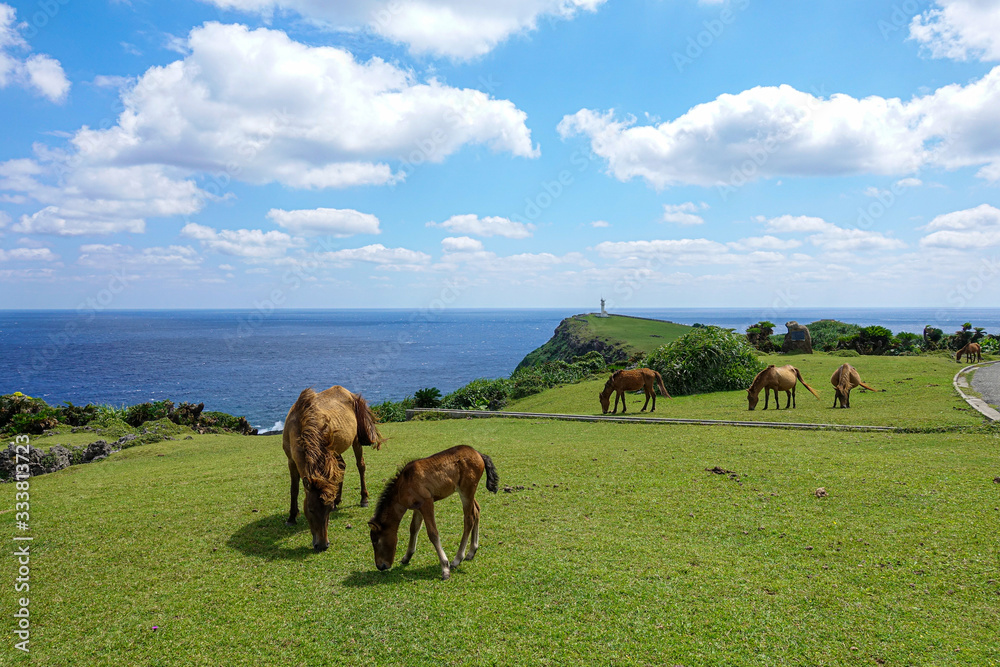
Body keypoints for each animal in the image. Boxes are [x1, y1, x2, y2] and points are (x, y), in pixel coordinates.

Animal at [283, 386, 384, 552]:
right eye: (310, 509)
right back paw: (338, 499)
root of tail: (350, 394)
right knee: (342, 466)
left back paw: (363, 499)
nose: (323, 545)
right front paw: (291, 517)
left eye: (328, 510)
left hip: (355, 440)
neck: (300, 422)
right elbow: (294, 490)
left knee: (360, 466)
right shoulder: (291, 461)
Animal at [368, 445, 498, 581]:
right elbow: (413, 528)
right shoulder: (417, 507)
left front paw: (445, 568)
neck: (403, 484)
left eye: (375, 541)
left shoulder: (427, 503)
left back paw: (457, 559)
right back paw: (471, 552)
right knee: (477, 510)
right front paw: (407, 557)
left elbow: (433, 533)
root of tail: (478, 453)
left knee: (469, 519)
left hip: (466, 490)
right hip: (469, 492)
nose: (380, 566)